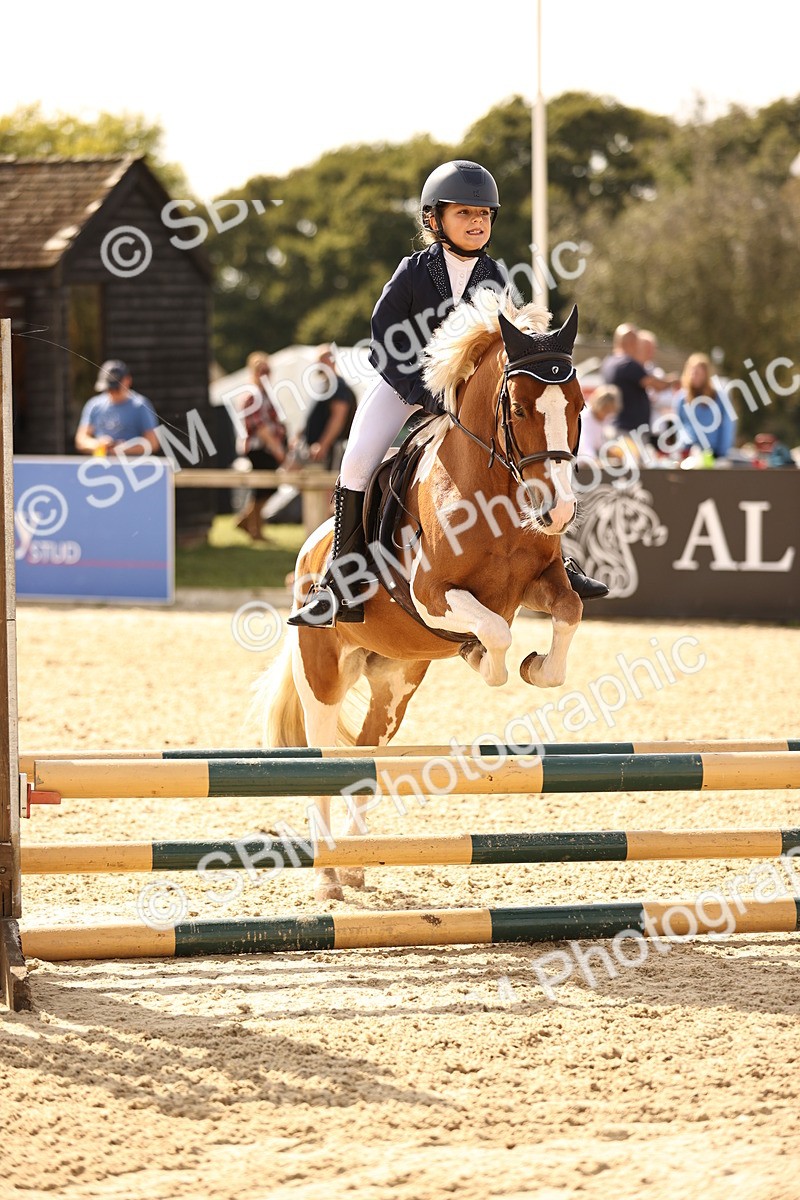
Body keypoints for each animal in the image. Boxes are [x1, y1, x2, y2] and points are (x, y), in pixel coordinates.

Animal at [257, 288, 586, 900]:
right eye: (519, 409)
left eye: (577, 406)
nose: (558, 512)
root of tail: (309, 552)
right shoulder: (433, 593)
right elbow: (495, 630)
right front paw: (486, 660)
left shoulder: (544, 583)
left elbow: (568, 612)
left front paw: (534, 668)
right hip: (322, 675)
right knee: (321, 759)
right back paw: (328, 878)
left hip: (395, 683)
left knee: (365, 755)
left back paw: (355, 864)